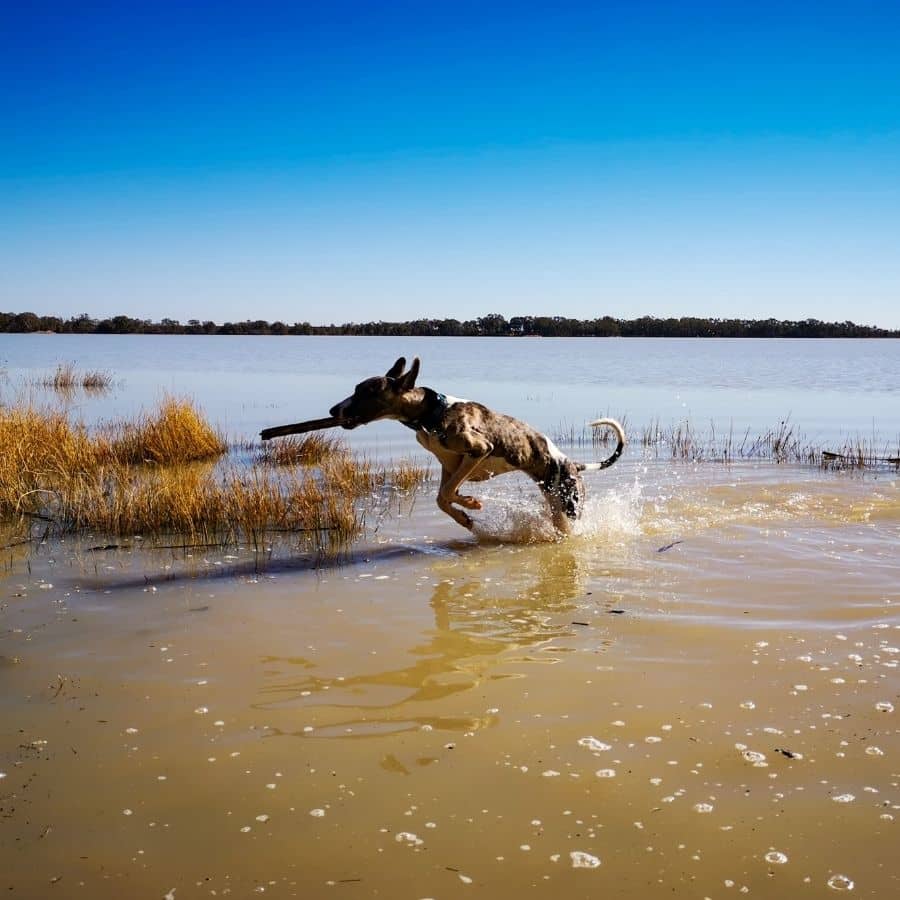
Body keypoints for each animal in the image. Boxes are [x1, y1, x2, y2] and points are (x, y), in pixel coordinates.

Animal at [268, 356, 624, 536]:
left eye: (364, 391)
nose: (333, 411)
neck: (431, 414)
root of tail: (573, 464)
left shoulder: (479, 450)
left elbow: (448, 491)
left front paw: (470, 505)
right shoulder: (449, 464)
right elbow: (442, 496)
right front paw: (465, 513)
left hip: (569, 503)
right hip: (554, 503)